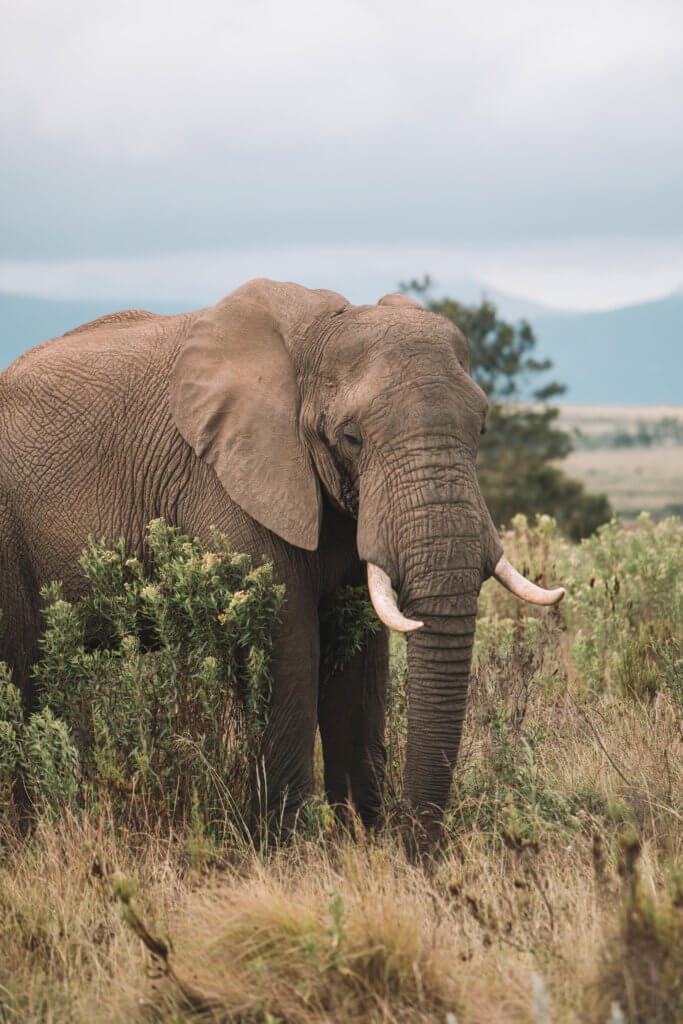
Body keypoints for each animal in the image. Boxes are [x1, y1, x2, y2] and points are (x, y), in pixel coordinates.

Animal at [0, 278, 564, 839]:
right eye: (351, 438)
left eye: (483, 429)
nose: (416, 846)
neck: (317, 333)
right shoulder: (225, 479)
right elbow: (288, 647)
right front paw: (294, 845)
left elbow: (362, 662)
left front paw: (361, 839)